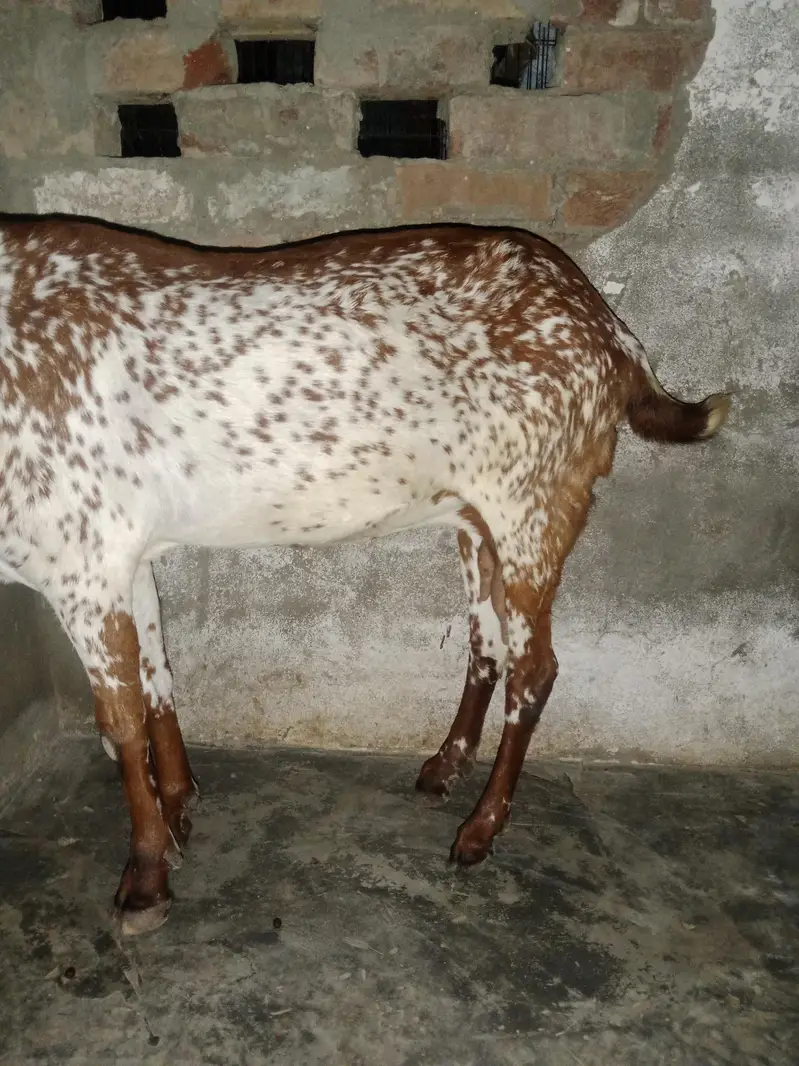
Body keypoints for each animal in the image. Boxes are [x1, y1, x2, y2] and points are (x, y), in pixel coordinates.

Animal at [0, 216, 729, 934]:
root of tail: (612, 335)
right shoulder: (129, 556)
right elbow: (157, 682)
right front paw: (181, 806)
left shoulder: (83, 561)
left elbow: (120, 722)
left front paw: (146, 878)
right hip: (478, 524)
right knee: (486, 642)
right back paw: (443, 768)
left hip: (535, 511)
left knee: (535, 671)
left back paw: (479, 830)